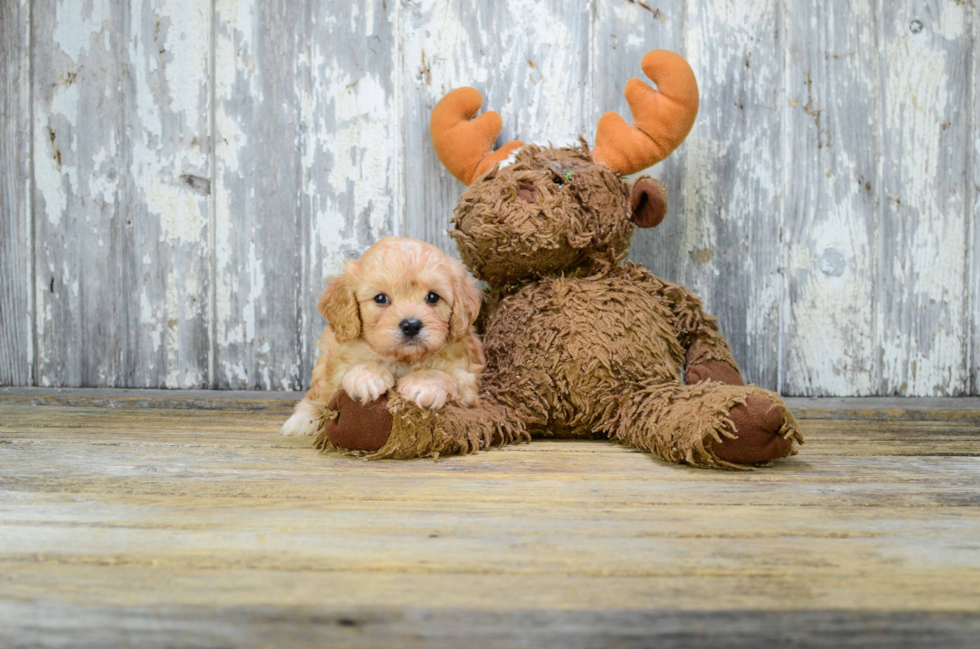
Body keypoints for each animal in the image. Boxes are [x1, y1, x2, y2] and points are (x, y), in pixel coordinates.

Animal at [280, 235, 482, 438]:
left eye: (432, 297)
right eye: (380, 298)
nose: (411, 326)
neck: (402, 359)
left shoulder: (467, 379)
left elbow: (444, 375)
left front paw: (423, 383)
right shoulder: (339, 359)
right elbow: (354, 367)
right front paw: (367, 377)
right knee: (318, 392)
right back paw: (302, 419)